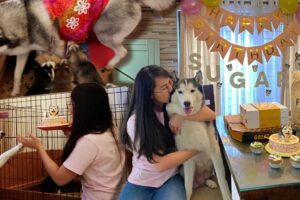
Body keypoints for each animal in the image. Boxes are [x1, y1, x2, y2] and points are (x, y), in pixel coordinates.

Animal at [0, 0, 175, 96]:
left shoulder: (56, 44)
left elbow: (59, 58)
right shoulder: (23, 53)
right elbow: (17, 73)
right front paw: (15, 92)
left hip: (101, 31)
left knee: (123, 51)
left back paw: (110, 64)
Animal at [165, 72, 231, 200]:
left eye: (192, 90)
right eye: (180, 91)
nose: (187, 103)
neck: (189, 119)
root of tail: (200, 180)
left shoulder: (215, 152)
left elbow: (221, 180)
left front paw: (226, 196)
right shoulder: (187, 159)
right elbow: (187, 185)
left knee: (211, 176)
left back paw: (210, 182)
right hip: (182, 169)